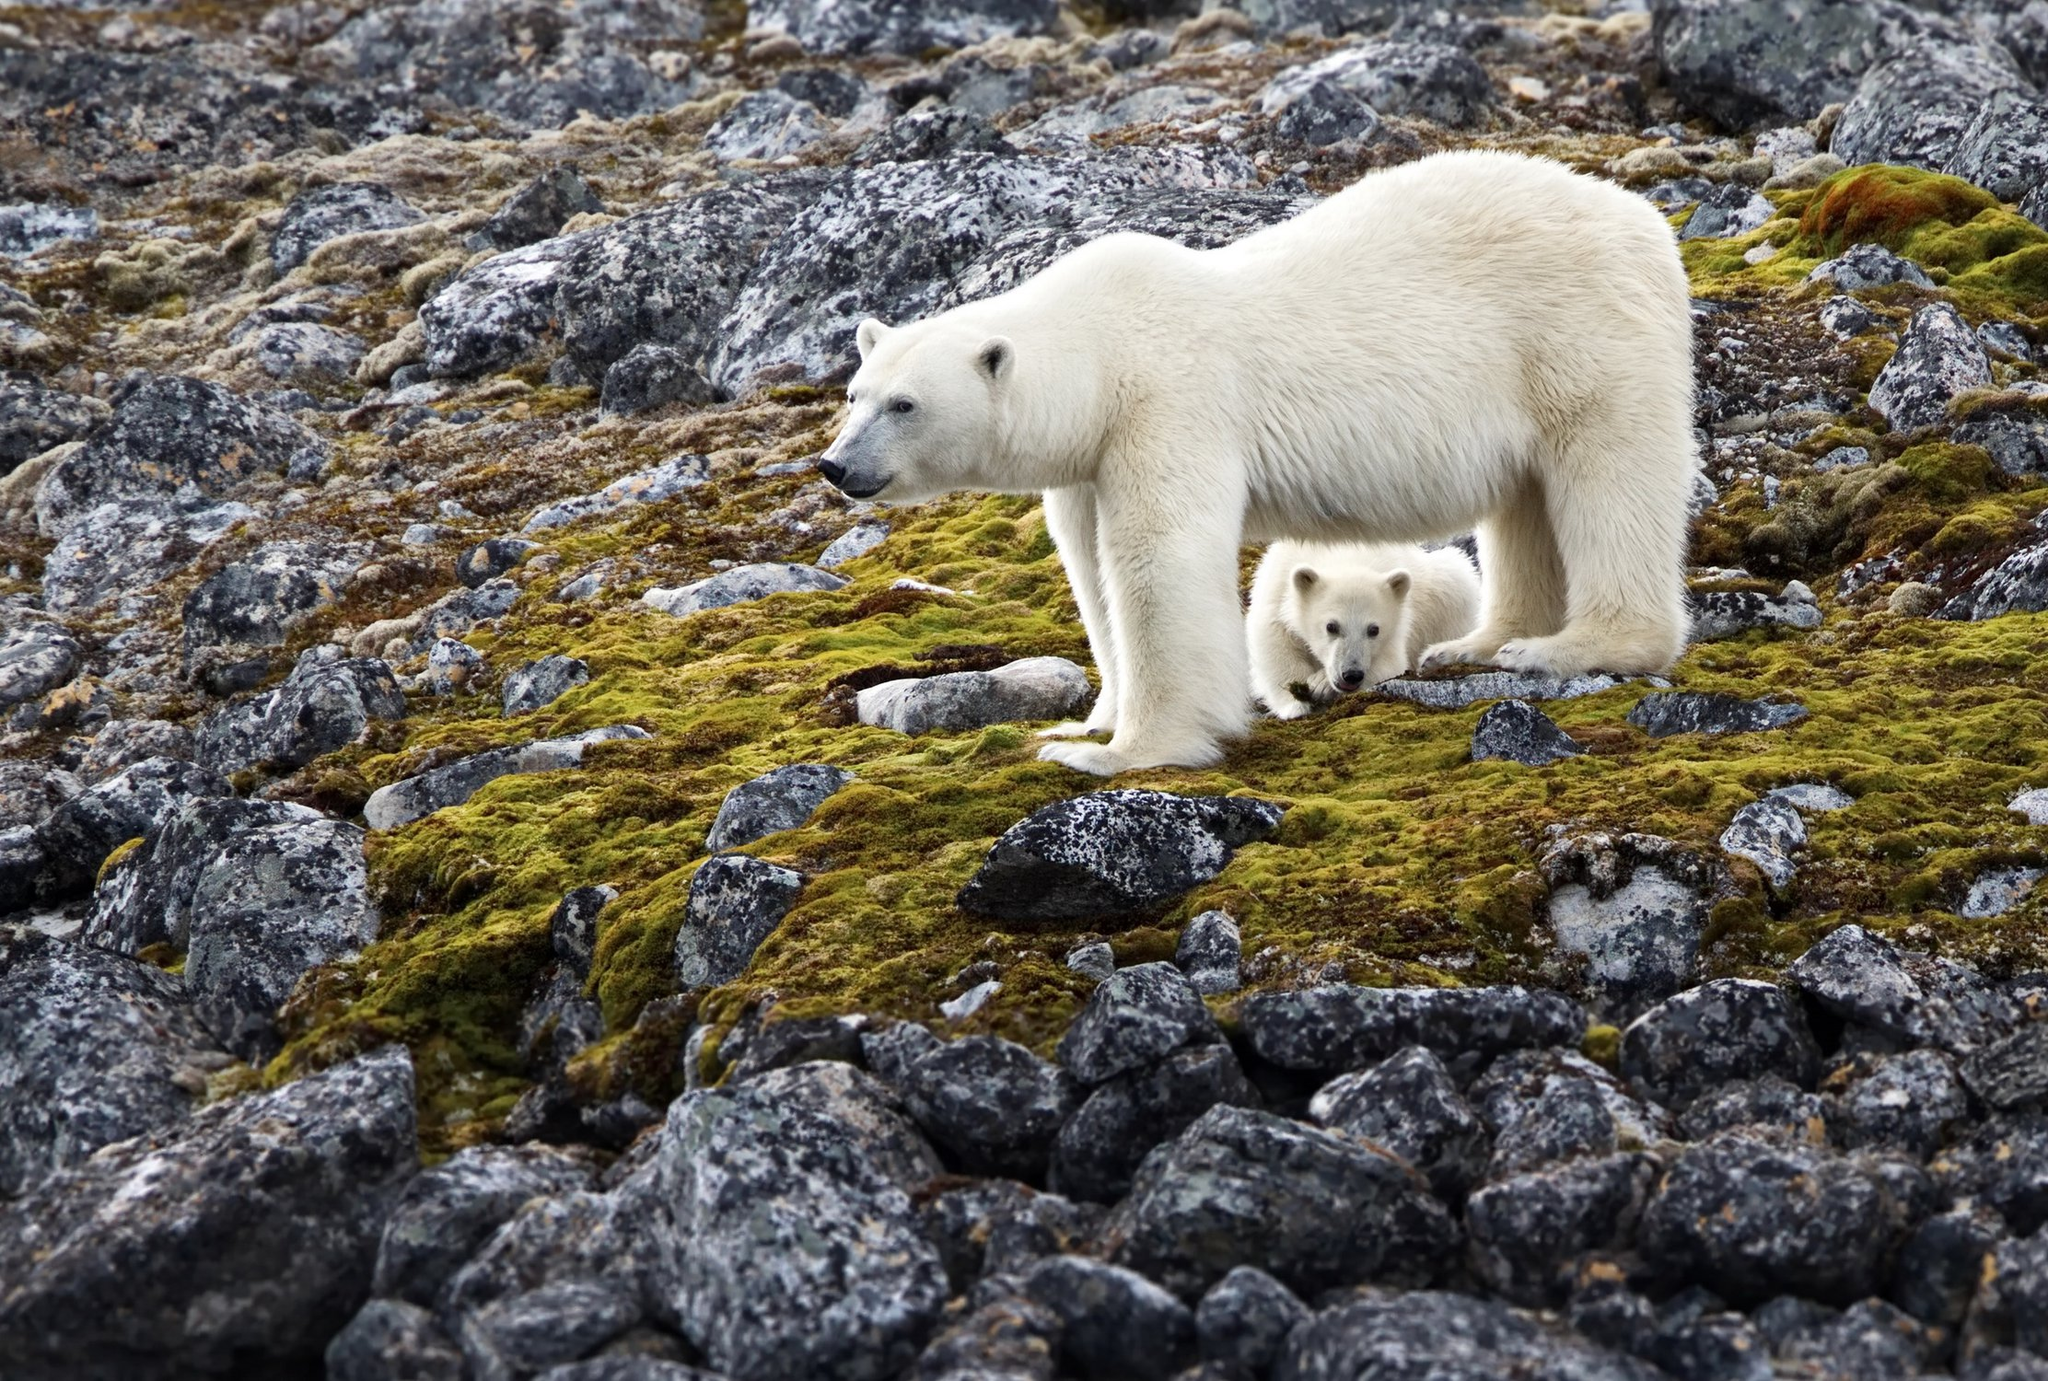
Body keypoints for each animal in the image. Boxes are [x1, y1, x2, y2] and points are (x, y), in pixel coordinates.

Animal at [815, 153, 1695, 774]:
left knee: (1609, 476)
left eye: (905, 405)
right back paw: (1482, 641)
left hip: (1578, 333)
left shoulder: (1169, 404)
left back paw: (1574, 646)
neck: (1103, 348)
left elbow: (1157, 559)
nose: (835, 466)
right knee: (1525, 498)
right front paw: (1088, 718)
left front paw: (1121, 751)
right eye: (856, 393)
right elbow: (1090, 569)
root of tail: (1645, 219)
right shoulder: (1090, 458)